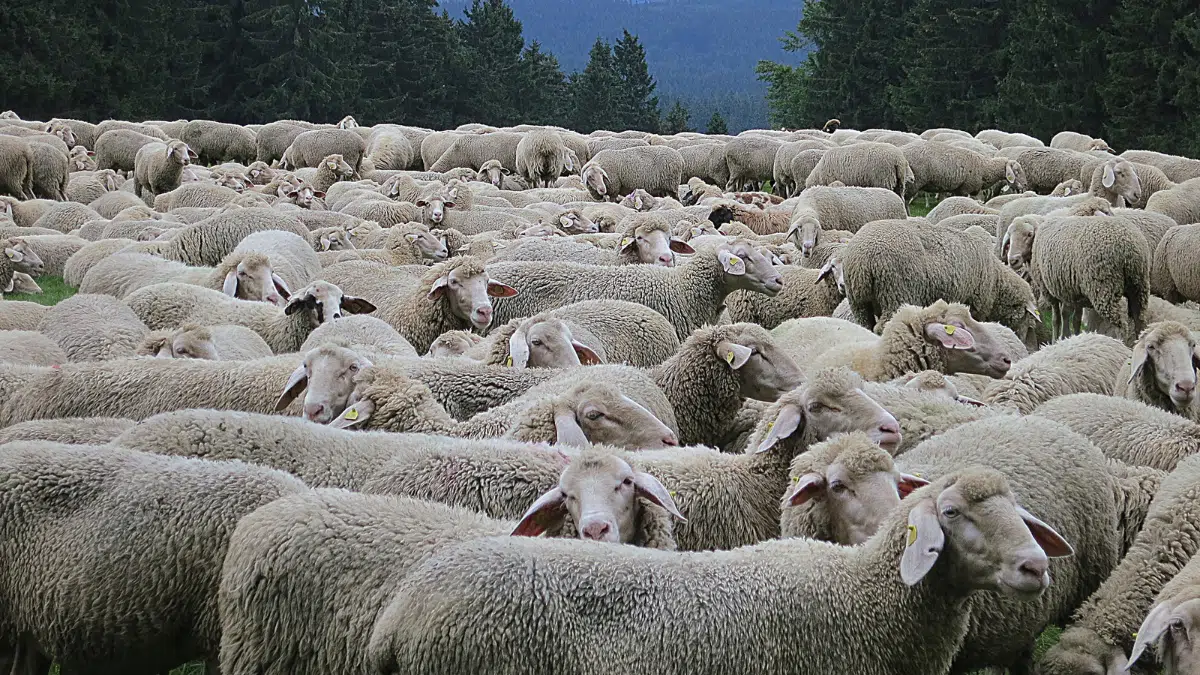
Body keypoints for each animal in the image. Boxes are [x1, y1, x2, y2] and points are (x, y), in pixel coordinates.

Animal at [841, 218, 1039, 346]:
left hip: (858, 301)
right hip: (895, 292)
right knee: (883, 326)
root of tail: (862, 259)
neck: (996, 282)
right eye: (1025, 316)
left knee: (864, 324)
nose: (1022, 340)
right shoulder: (975, 305)